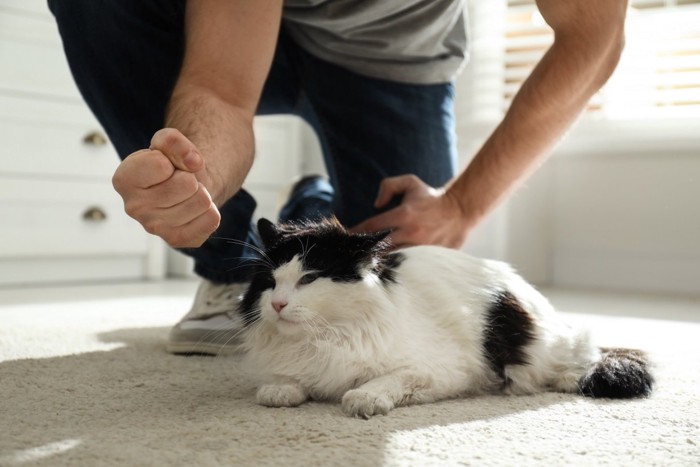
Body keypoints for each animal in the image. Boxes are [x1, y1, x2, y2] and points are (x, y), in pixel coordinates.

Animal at [237, 218, 656, 418]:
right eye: (271, 281)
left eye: (308, 278)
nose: (278, 305)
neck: (322, 338)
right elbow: (288, 382)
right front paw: (281, 389)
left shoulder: (442, 370)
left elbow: (386, 380)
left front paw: (364, 398)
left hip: (545, 346)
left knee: (585, 356)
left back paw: (569, 378)